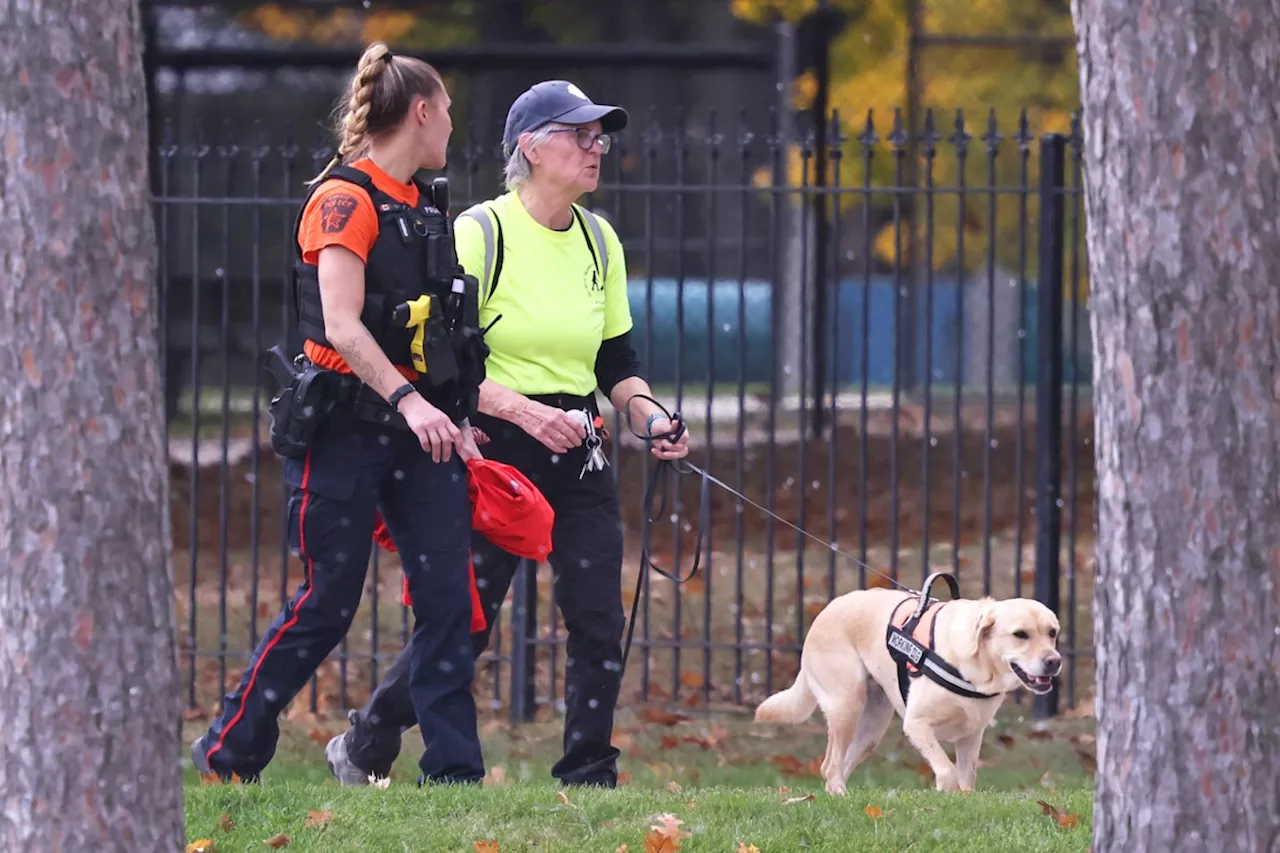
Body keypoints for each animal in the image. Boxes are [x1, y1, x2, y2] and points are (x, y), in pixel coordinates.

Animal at [747, 581, 1059, 794]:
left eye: (1052, 632)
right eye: (1020, 635)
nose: (1054, 662)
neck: (977, 666)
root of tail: (825, 610)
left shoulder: (971, 736)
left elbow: (966, 779)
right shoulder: (917, 724)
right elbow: (946, 770)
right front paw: (945, 794)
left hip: (871, 730)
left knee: (842, 764)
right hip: (847, 704)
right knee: (829, 766)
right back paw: (840, 795)